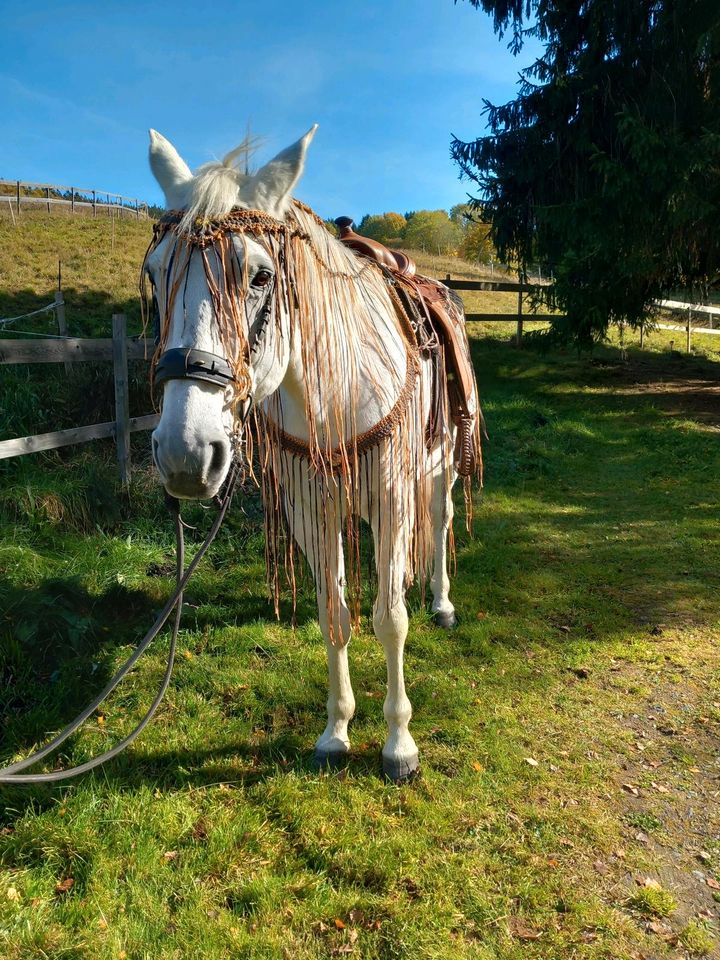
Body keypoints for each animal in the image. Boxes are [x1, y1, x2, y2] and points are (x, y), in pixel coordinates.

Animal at [143, 125, 478, 780]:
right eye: (154, 274)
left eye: (259, 276)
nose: (184, 453)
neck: (336, 392)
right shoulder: (309, 506)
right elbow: (334, 614)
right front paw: (335, 732)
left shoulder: (392, 498)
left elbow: (389, 618)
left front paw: (399, 745)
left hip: (441, 467)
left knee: (441, 520)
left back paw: (442, 600)